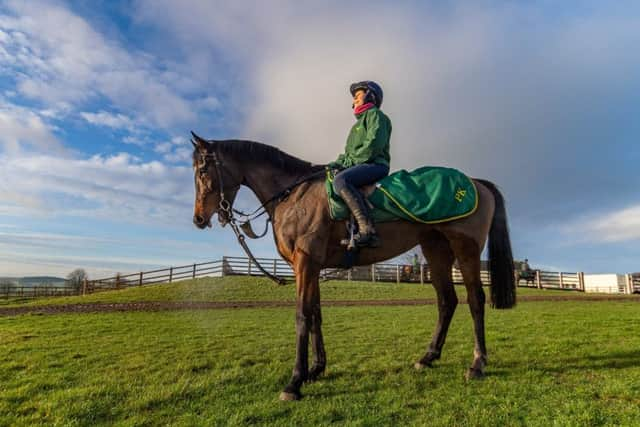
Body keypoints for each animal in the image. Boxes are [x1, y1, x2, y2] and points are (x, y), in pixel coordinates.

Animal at [190, 135, 516, 402]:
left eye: (203, 171)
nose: (198, 219)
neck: (295, 195)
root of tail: (476, 183)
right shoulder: (311, 267)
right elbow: (316, 315)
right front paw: (316, 370)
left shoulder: (305, 263)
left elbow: (302, 316)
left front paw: (294, 382)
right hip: (436, 252)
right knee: (447, 301)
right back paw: (428, 357)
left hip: (466, 251)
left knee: (475, 300)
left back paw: (477, 363)